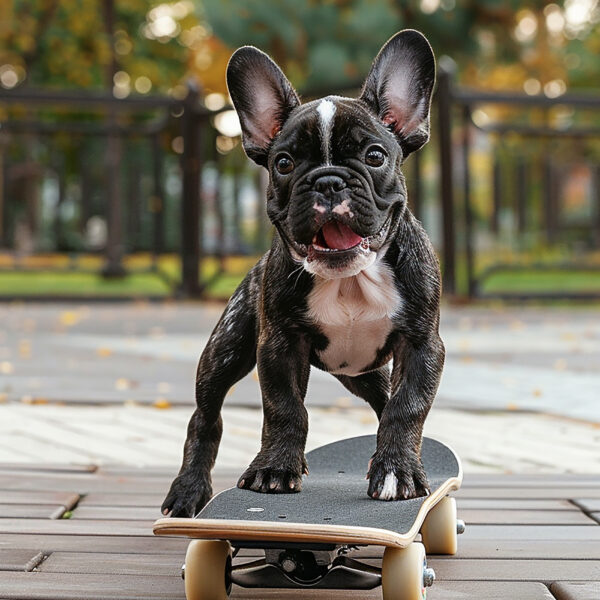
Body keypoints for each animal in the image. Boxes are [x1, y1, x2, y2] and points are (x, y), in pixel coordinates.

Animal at [162, 29, 442, 516]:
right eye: (284, 163)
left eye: (374, 155)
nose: (328, 180)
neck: (349, 281)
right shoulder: (278, 345)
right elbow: (284, 407)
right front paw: (275, 469)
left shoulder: (422, 345)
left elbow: (406, 406)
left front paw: (396, 471)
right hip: (228, 347)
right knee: (205, 415)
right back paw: (188, 489)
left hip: (363, 370)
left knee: (385, 400)